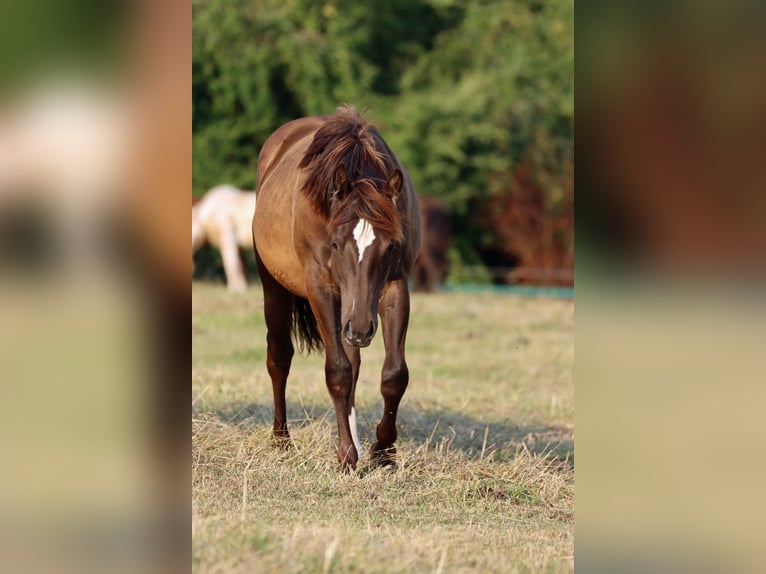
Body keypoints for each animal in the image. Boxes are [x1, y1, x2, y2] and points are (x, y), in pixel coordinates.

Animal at [252, 106, 420, 470]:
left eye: (390, 246)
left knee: (353, 359)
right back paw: (281, 440)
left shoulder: (395, 286)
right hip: (274, 286)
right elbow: (338, 371)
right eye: (335, 243)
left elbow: (393, 375)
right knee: (279, 357)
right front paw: (346, 455)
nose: (362, 329)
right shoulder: (321, 288)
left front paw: (383, 451)